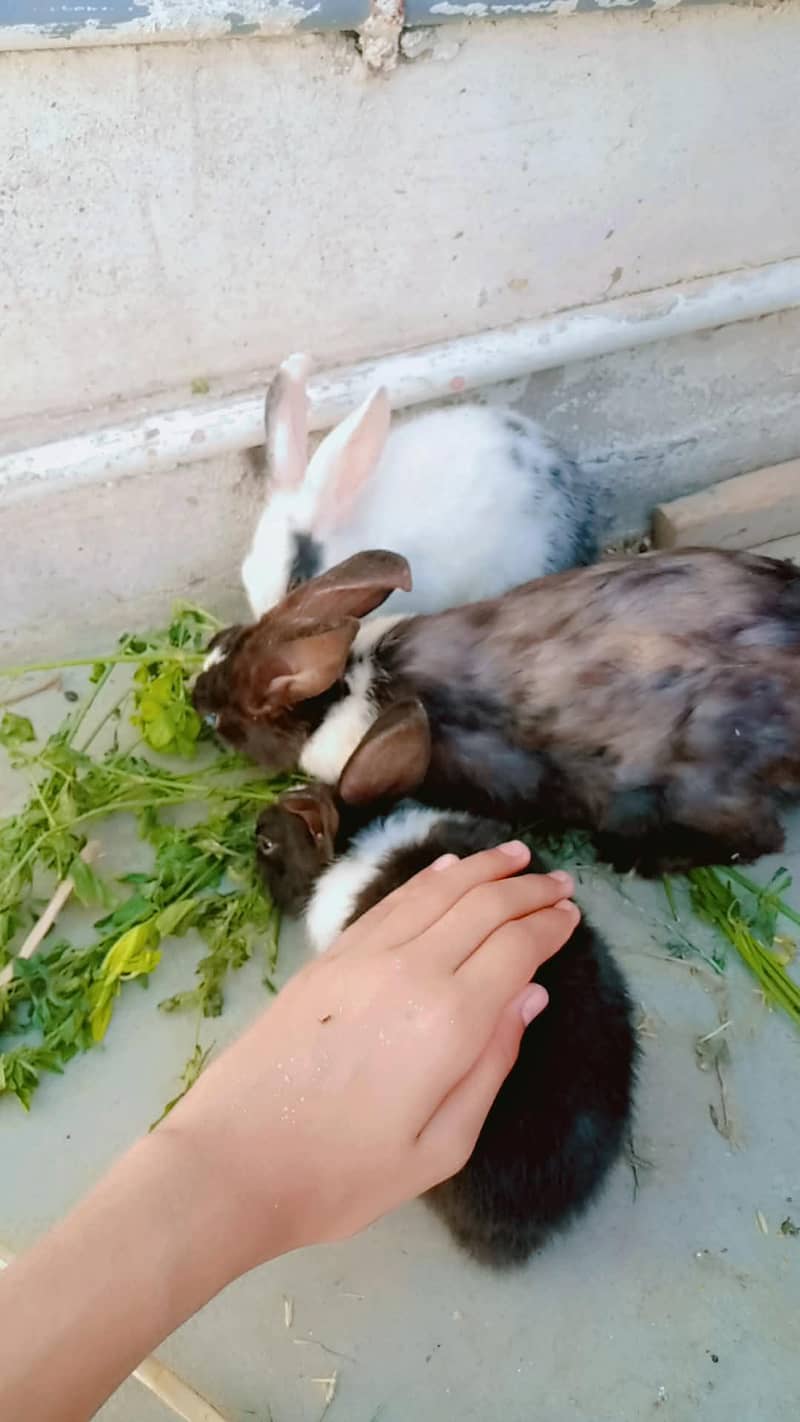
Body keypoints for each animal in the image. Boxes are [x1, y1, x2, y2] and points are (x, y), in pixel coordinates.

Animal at [194, 545, 800, 877]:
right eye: (229, 638)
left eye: (222, 722)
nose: (193, 695)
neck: (348, 686)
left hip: (699, 785)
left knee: (761, 839)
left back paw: (637, 859)